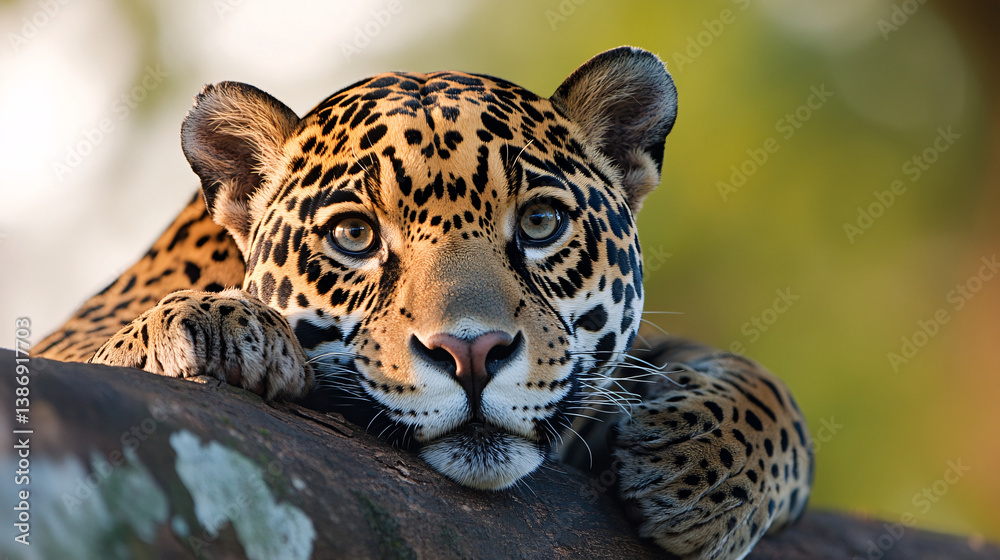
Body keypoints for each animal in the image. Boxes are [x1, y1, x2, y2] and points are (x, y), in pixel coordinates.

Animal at [35, 46, 813, 559]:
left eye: (540, 222)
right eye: (354, 235)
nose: (472, 353)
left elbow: (772, 396)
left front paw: (704, 471)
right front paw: (216, 327)